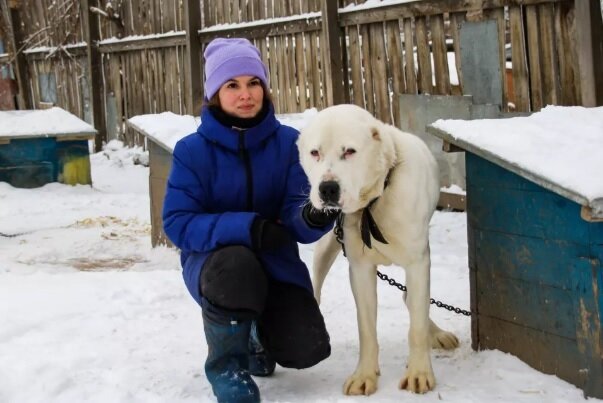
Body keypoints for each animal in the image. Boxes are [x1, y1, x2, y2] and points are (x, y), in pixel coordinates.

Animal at [296, 105, 458, 398]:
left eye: (349, 151)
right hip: (326, 245)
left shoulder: (418, 264)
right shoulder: (360, 270)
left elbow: (417, 327)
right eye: (315, 153)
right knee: (317, 283)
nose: (327, 188)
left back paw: (437, 333)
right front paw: (365, 375)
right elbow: (367, 330)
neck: (376, 200)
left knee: (412, 301)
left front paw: (419, 373)